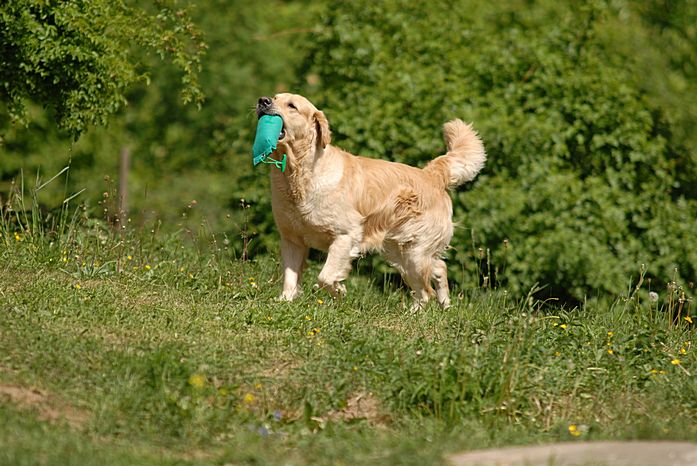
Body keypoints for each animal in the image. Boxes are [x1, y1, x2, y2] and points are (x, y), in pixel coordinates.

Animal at [255, 93, 486, 309]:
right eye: (275, 97)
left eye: (291, 105)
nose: (263, 101)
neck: (299, 173)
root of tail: (432, 175)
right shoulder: (291, 239)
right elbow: (290, 276)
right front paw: (285, 301)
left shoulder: (345, 236)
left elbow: (325, 277)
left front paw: (339, 291)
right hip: (400, 251)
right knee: (438, 269)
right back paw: (444, 305)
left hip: (414, 253)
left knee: (425, 291)